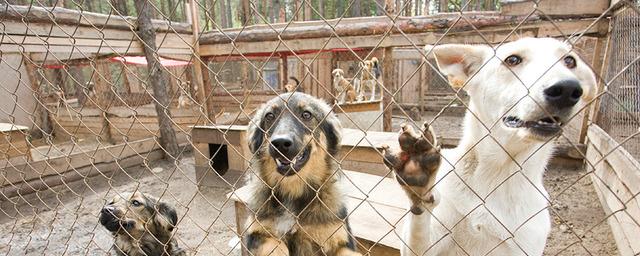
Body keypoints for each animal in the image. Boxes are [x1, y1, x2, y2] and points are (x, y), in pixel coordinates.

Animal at [245, 92, 362, 256]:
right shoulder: (256, 232)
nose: (280, 143)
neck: (292, 191)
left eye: (306, 115)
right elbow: (276, 244)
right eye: (269, 116)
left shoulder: (341, 240)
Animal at [382, 37, 596, 255]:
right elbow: (419, 227)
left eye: (570, 61)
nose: (567, 89)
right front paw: (418, 174)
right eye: (512, 59)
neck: (496, 171)